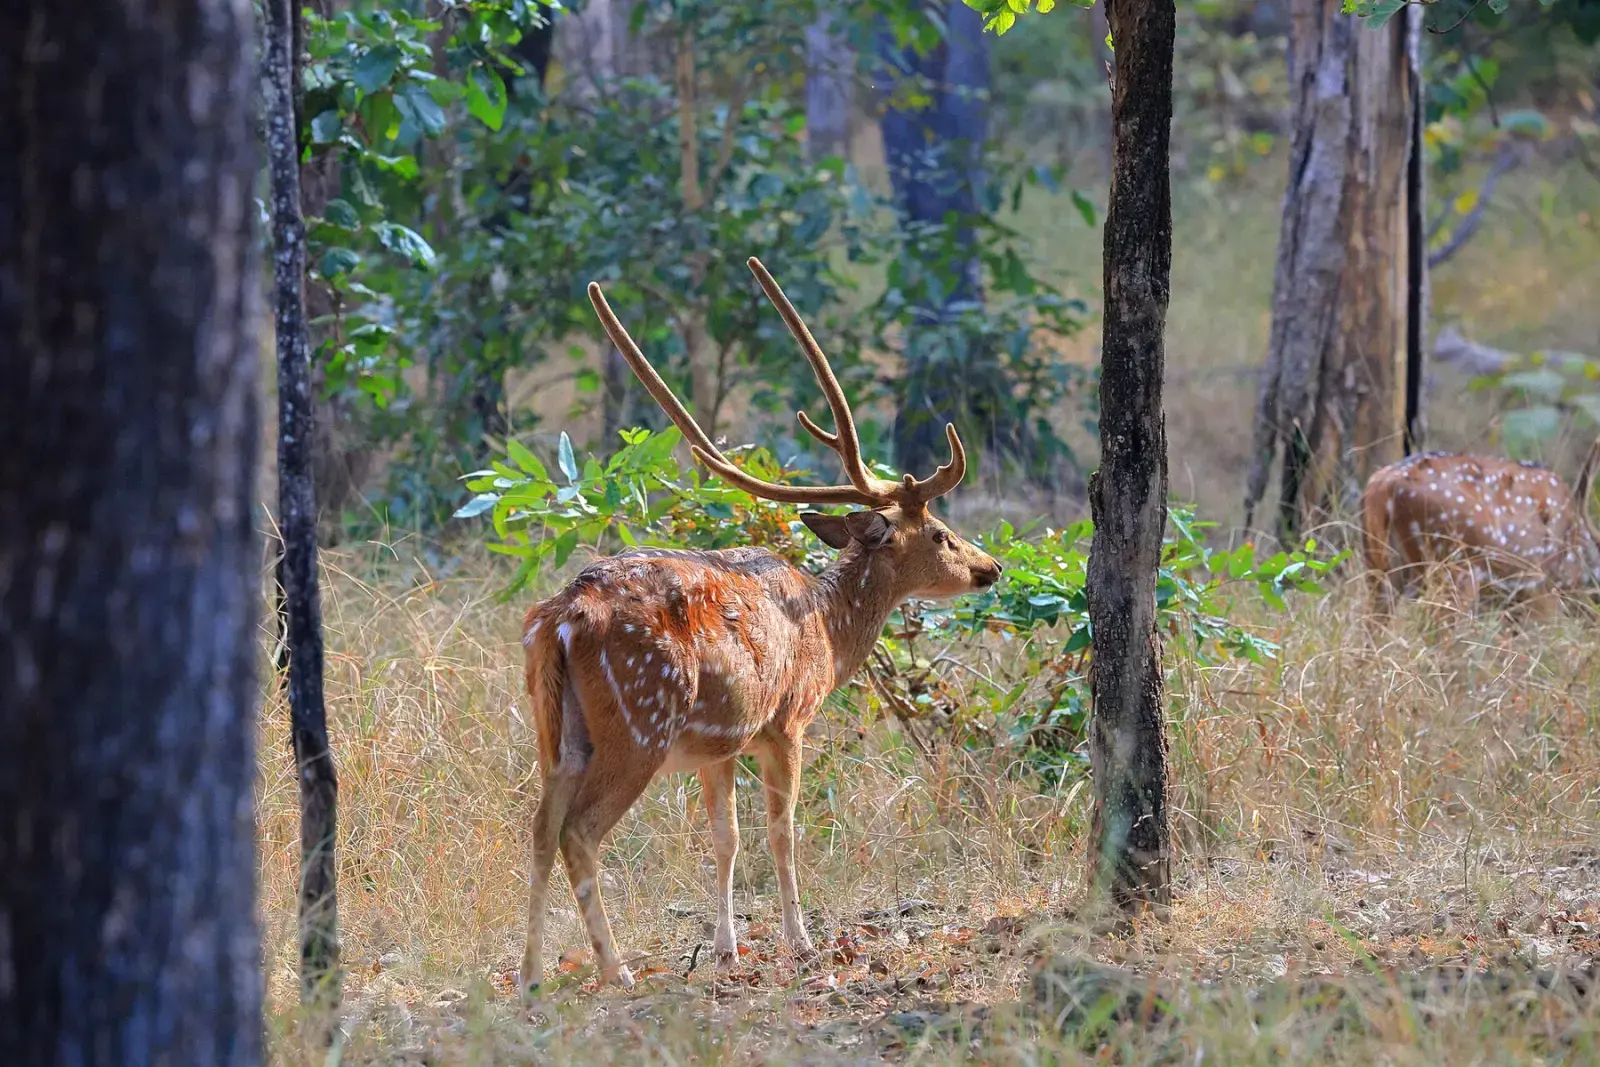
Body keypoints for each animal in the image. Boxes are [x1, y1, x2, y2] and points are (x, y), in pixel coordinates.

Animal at [517, 257, 1003, 997]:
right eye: (943, 534)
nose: (991, 566)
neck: (827, 633)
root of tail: (560, 619)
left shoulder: (718, 744)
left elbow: (726, 839)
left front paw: (726, 949)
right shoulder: (786, 719)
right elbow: (782, 831)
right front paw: (799, 942)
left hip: (556, 725)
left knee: (540, 826)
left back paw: (530, 975)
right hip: (640, 722)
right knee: (580, 830)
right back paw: (616, 968)